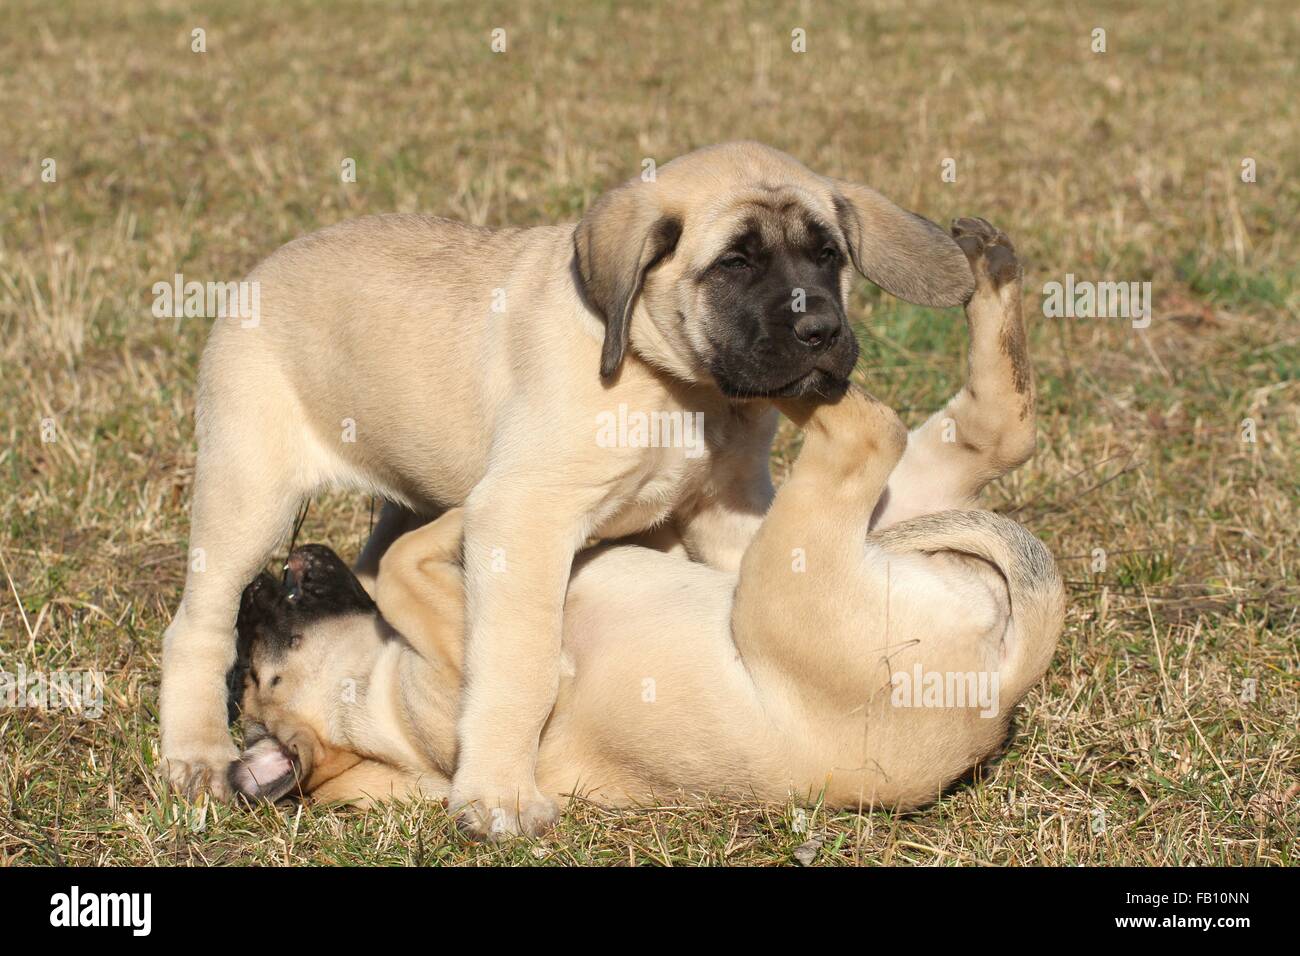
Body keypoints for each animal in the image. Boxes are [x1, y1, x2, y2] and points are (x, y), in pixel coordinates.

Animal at [159, 141, 977, 837]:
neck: (673, 385)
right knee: (198, 625)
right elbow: (518, 662)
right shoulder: (525, 518)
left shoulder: (724, 507)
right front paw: (498, 794)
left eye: (829, 256)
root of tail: (267, 266)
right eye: (736, 264)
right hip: (251, 497)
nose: (823, 332)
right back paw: (196, 753)